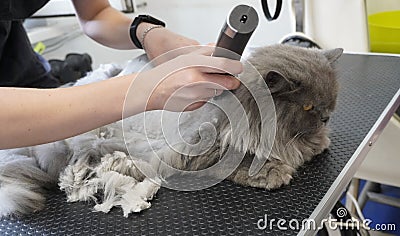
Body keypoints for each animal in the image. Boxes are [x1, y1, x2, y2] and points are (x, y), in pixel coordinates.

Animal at [0, 44, 344, 218]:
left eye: (330, 99)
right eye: (308, 107)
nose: (328, 117)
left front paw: (316, 145)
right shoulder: (198, 153)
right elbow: (243, 162)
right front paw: (273, 171)